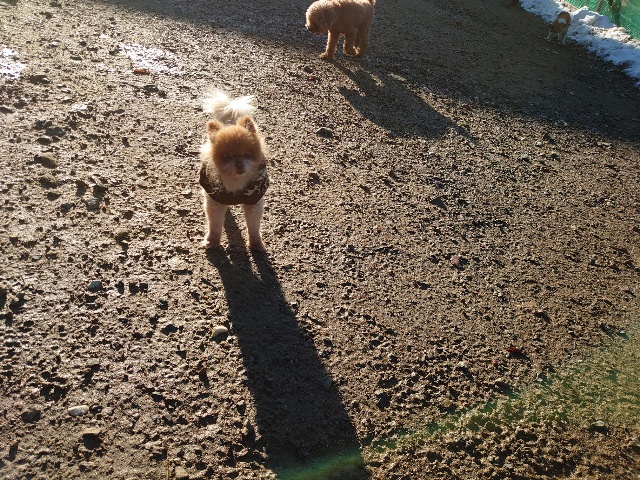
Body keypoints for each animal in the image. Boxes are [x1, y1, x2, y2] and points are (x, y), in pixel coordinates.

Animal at [198, 91, 269, 251]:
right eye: (227, 158)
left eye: (247, 155)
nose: (239, 165)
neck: (236, 184)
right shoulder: (215, 200)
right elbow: (215, 225)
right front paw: (212, 241)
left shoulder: (254, 201)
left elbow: (254, 227)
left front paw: (256, 244)